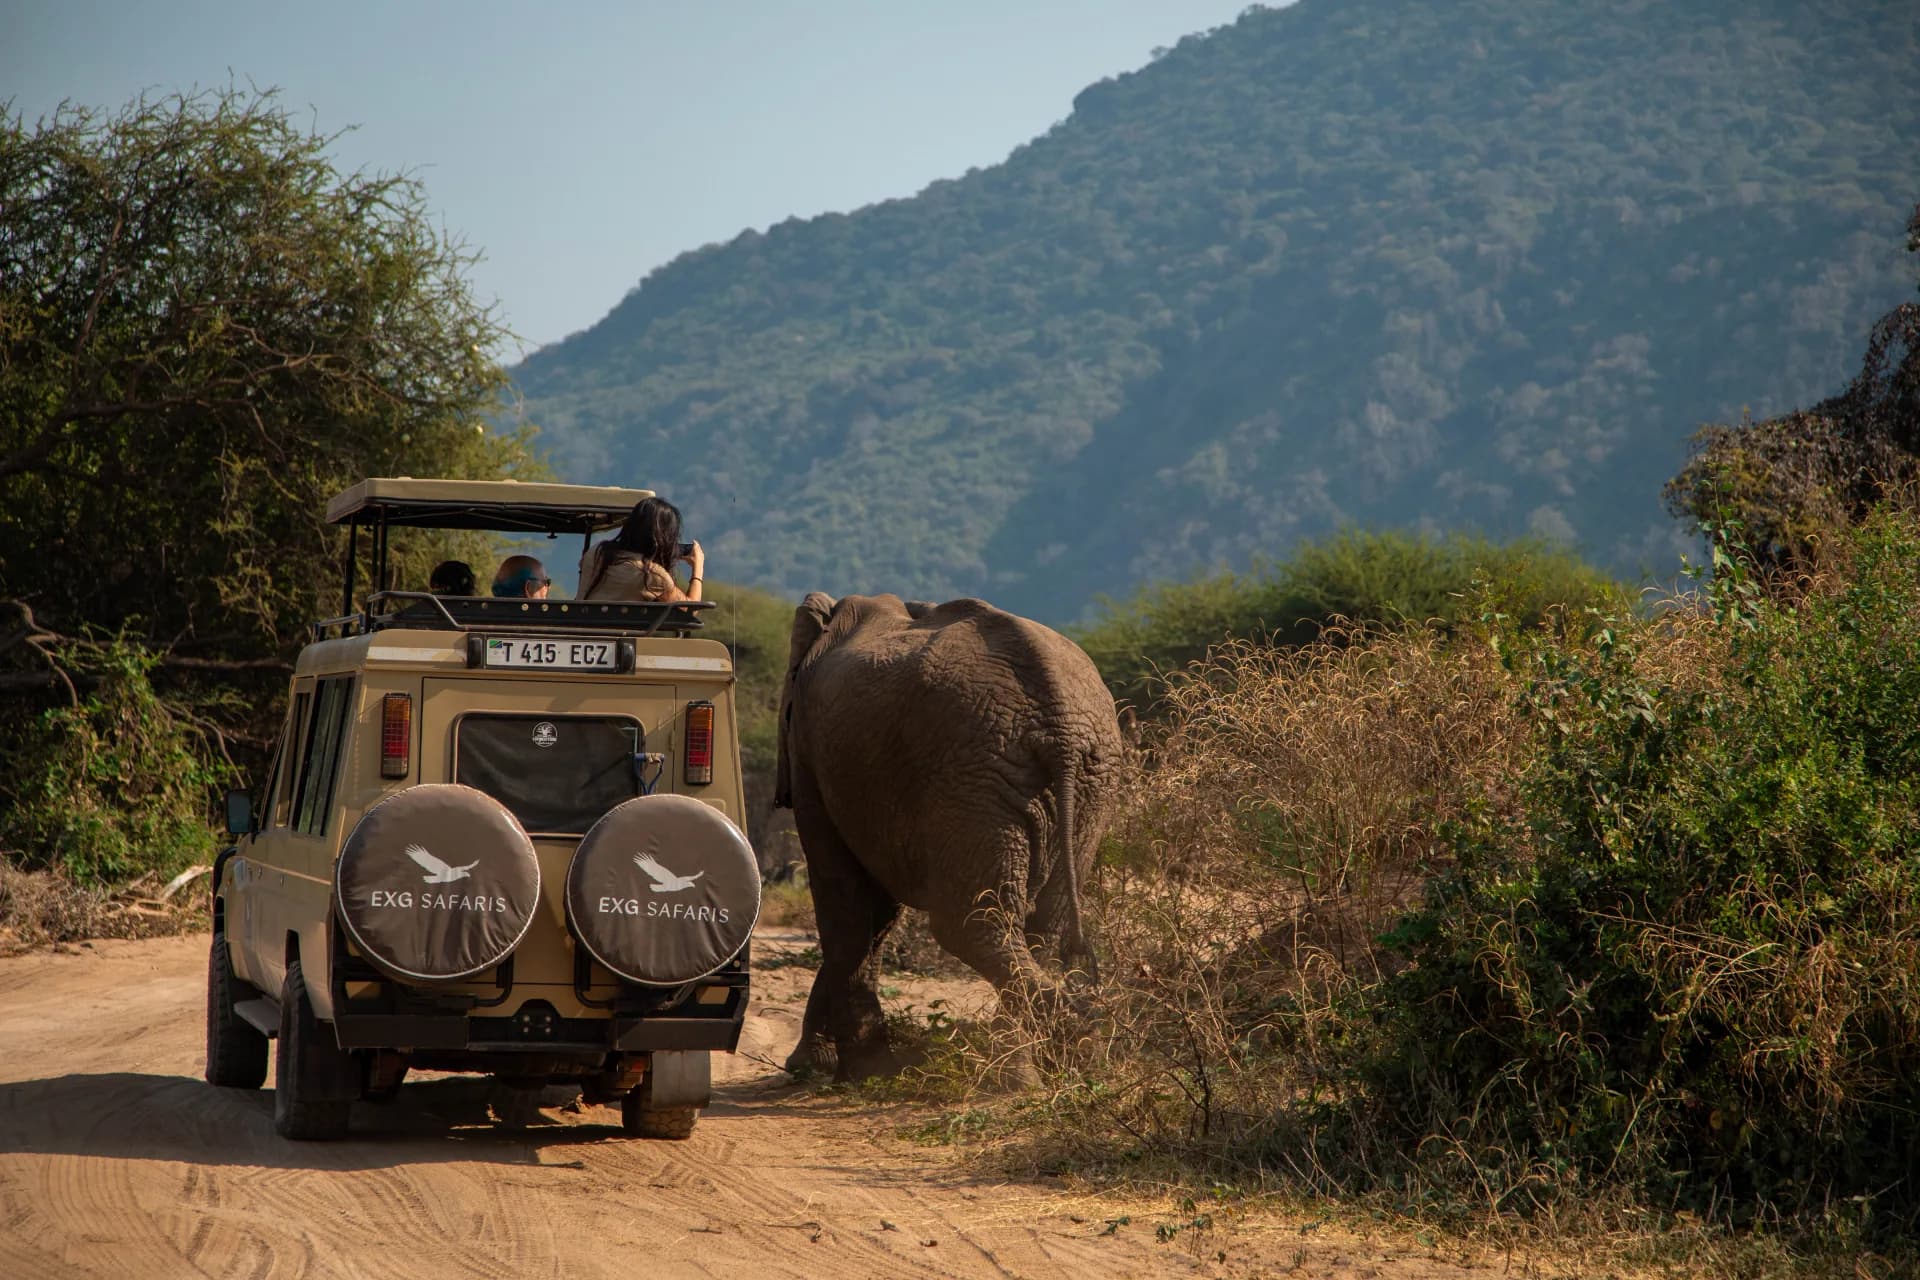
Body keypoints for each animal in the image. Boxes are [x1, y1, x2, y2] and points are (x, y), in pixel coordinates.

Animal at [774, 592, 1124, 1082]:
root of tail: (1058, 722)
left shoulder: (810, 754)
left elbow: (846, 900)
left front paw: (856, 1072)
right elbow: (877, 913)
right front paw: (832, 1066)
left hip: (975, 775)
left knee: (969, 926)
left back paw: (1044, 1059)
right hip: (1076, 783)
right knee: (1038, 924)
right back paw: (1060, 1054)